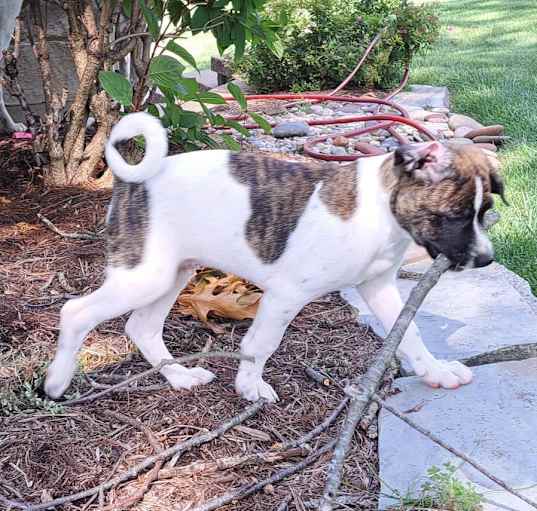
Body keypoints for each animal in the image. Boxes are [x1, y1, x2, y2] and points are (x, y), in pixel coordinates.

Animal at [44, 112, 504, 404]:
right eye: (455, 216)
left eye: (484, 212)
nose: (485, 260)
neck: (381, 210)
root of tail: (135, 179)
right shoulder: (286, 294)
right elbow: (260, 343)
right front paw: (249, 387)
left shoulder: (377, 287)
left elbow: (409, 335)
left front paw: (436, 372)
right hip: (145, 276)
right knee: (75, 312)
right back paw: (57, 380)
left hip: (174, 273)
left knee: (142, 328)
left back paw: (180, 377)